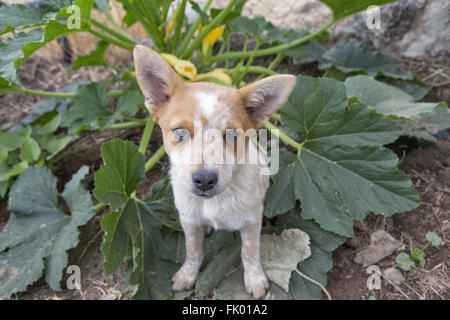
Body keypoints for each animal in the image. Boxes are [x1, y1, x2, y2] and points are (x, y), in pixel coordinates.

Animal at [134, 45, 296, 298]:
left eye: (232, 135)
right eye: (179, 132)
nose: (204, 180)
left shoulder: (252, 220)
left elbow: (250, 252)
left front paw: (255, 279)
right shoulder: (188, 220)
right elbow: (192, 251)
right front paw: (187, 275)